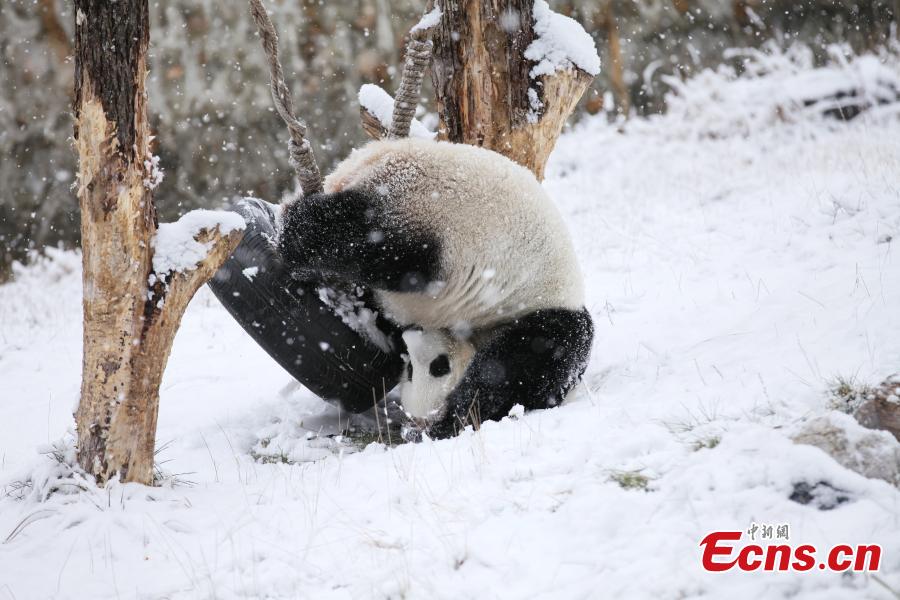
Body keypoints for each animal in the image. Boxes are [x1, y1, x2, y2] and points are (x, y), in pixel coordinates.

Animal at [278, 136, 596, 438]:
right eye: (414, 368)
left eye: (437, 367)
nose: (411, 334)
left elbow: (509, 373)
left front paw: (444, 425)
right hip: (427, 208)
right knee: (369, 234)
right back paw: (296, 231)